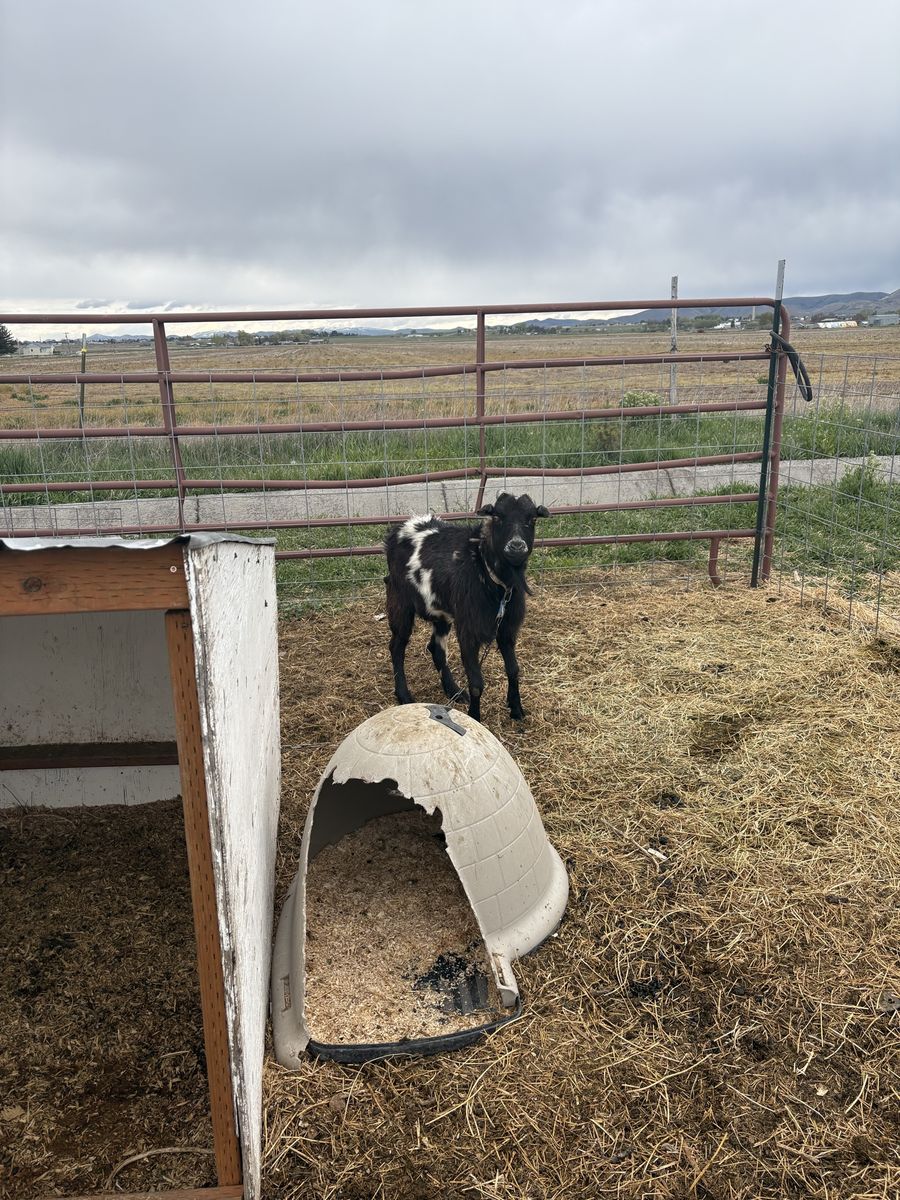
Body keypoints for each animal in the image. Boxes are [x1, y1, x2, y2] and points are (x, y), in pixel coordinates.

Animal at [383, 492, 550, 722]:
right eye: (497, 517)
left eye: (532, 518)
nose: (516, 546)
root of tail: (401, 528)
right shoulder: (469, 630)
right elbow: (477, 683)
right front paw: (475, 717)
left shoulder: (506, 629)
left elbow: (514, 670)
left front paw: (516, 709)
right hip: (400, 601)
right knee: (397, 647)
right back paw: (404, 695)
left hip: (440, 611)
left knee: (436, 648)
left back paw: (453, 691)